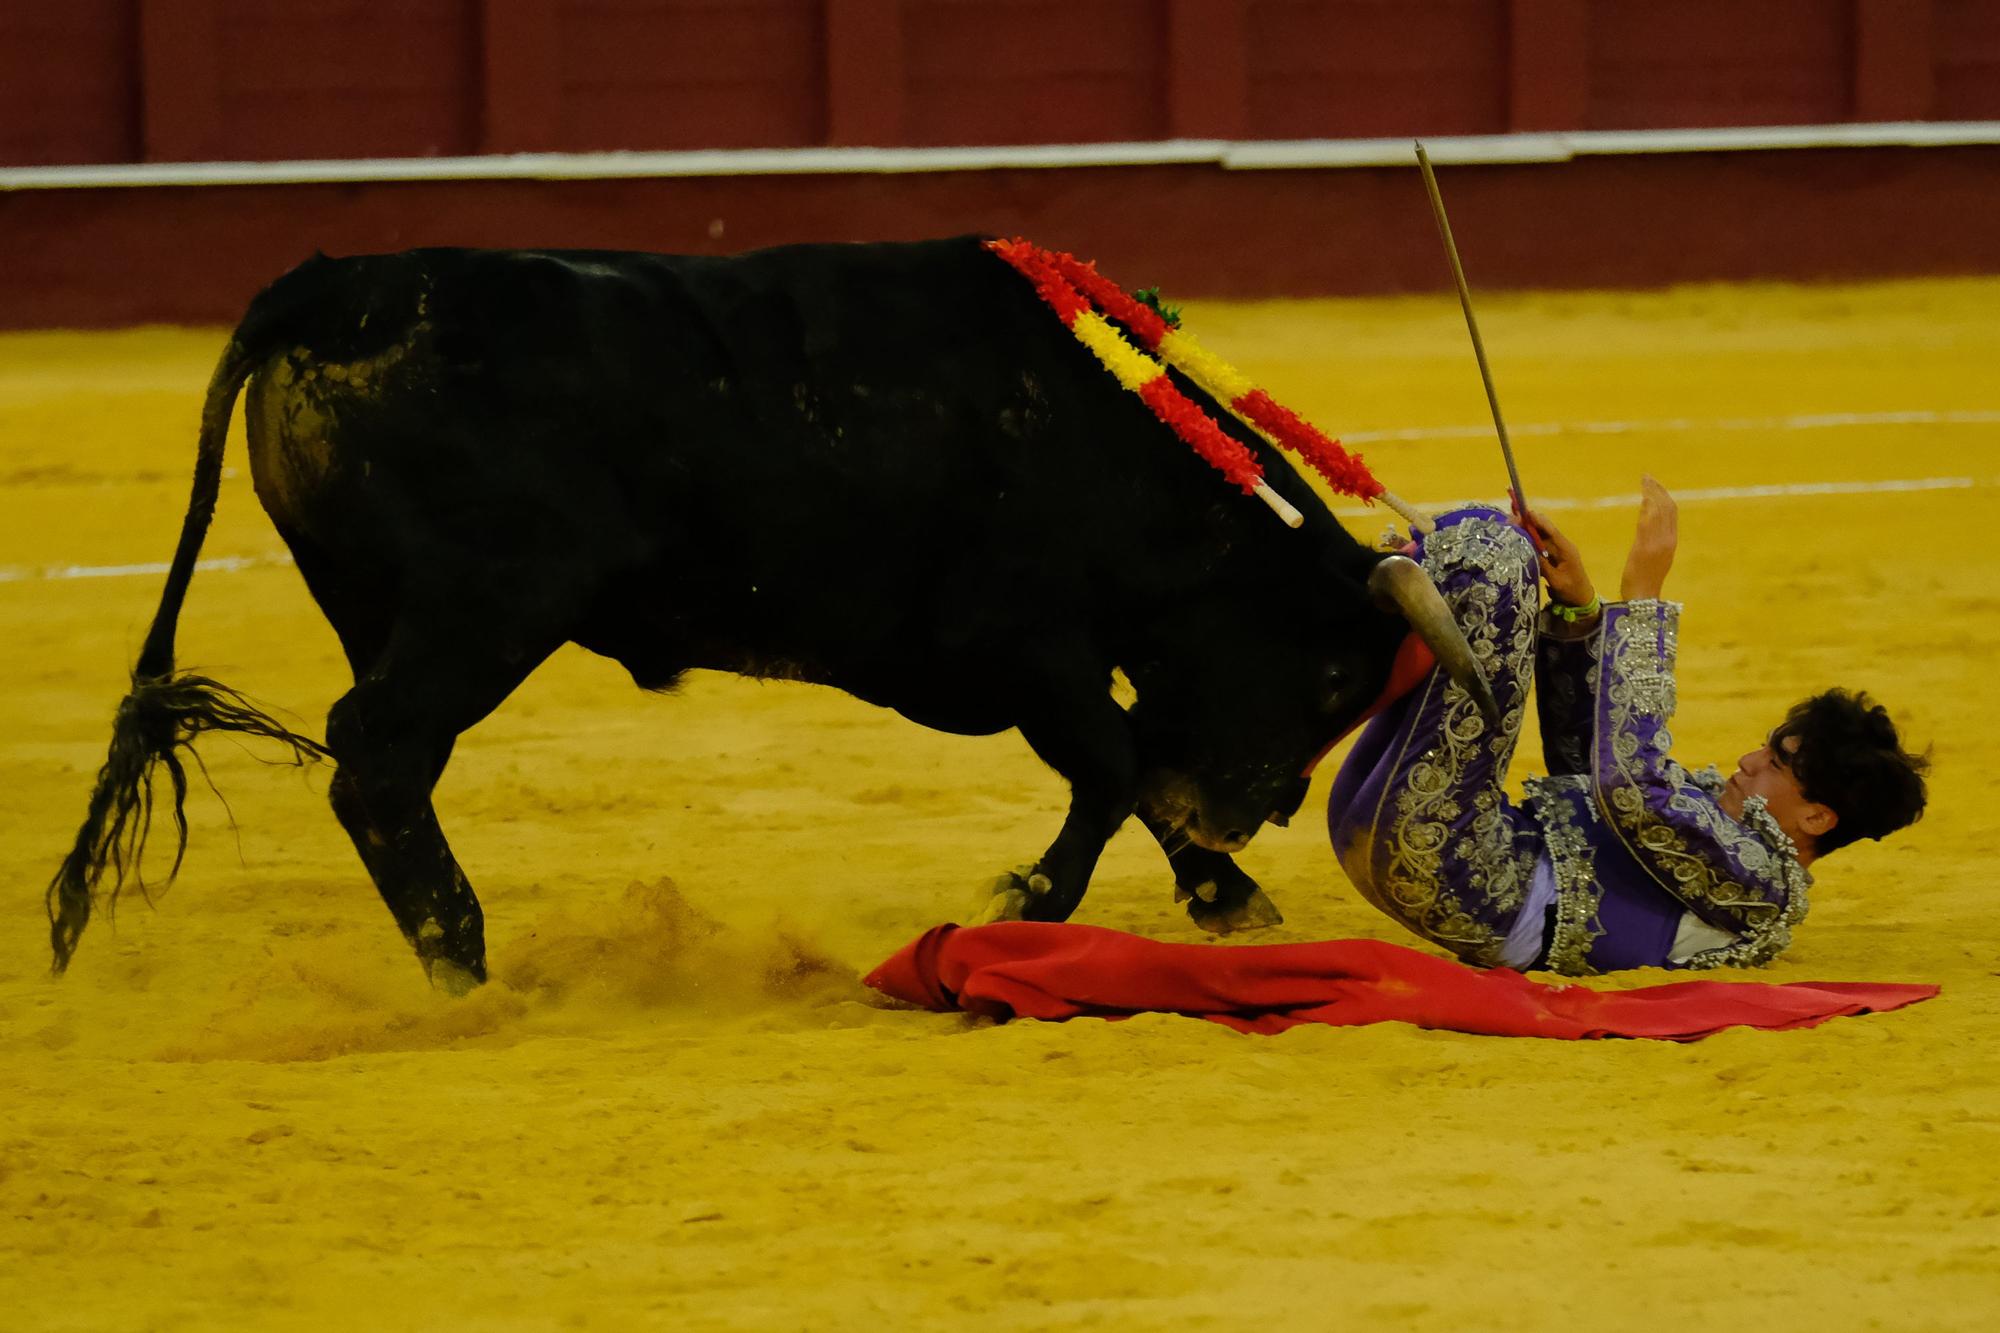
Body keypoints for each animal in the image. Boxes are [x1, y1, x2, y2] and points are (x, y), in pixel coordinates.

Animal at [43, 236, 1488, 984]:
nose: (1248, 811)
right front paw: (1040, 899)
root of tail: (330, 283)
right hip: (484, 609)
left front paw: (1213, 887)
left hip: (384, 607)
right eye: (1328, 681)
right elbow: (1114, 759)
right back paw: (465, 961)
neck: (1100, 424)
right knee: (381, 757)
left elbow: (1124, 764)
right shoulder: (1028, 641)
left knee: (382, 766)